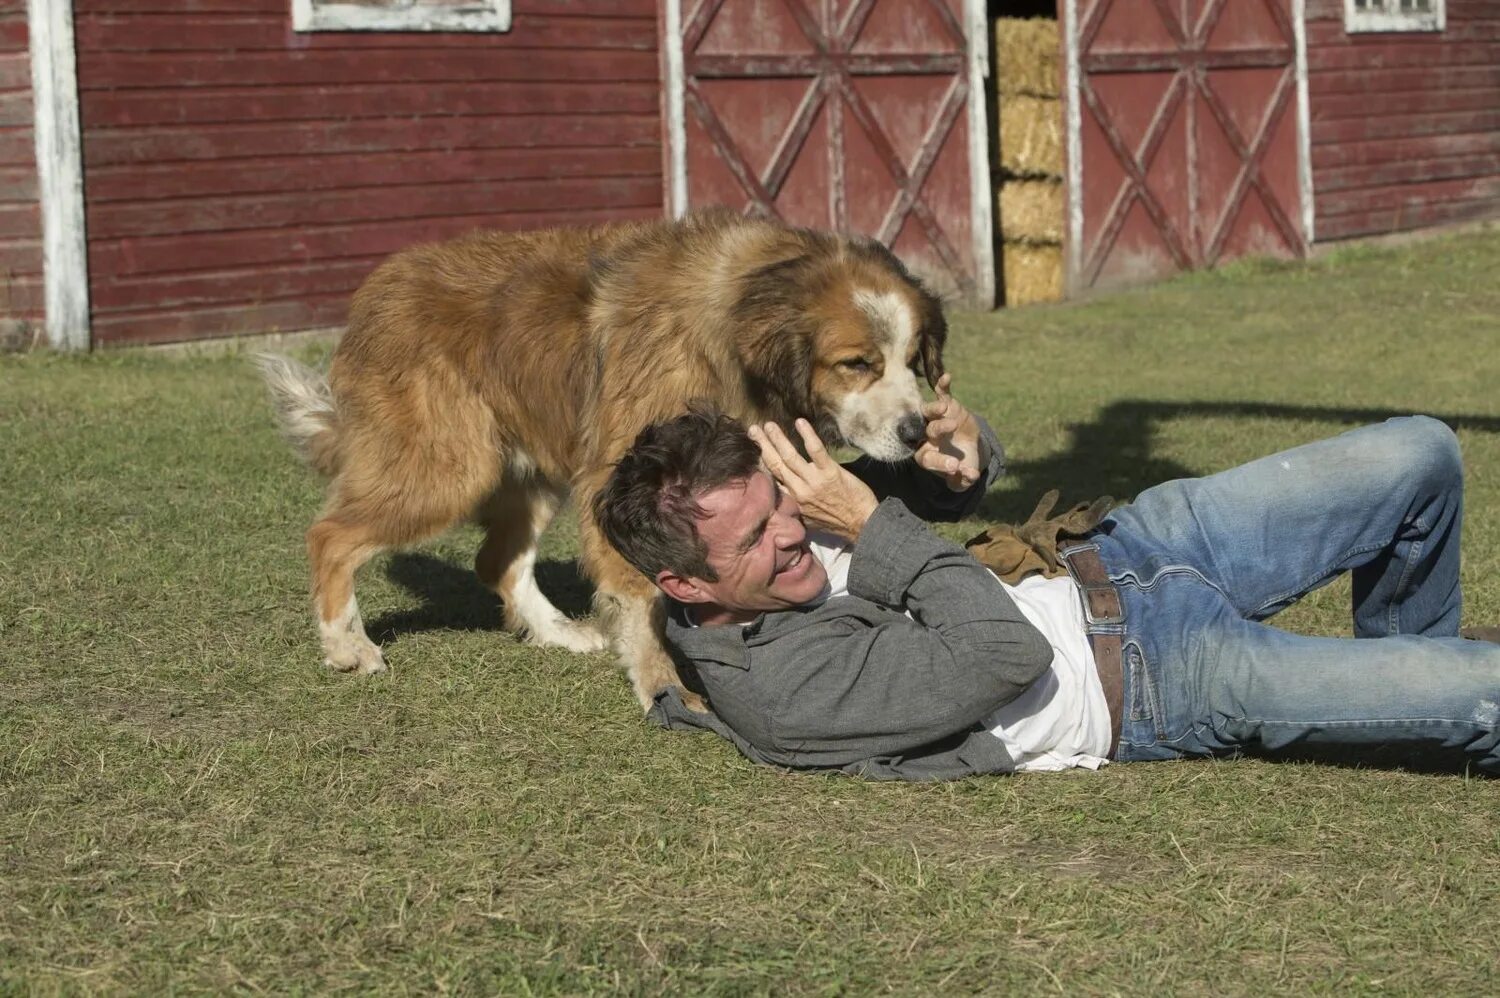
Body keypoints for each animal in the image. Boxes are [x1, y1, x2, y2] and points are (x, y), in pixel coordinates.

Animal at [256, 208, 936, 708]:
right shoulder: (626, 475)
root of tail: (376, 290)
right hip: (449, 469)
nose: (917, 433)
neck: (731, 325)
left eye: (913, 358)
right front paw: (663, 684)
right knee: (330, 536)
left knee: (497, 559)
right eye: (857, 364)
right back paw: (347, 646)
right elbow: (641, 595)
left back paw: (556, 632)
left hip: (528, 476)